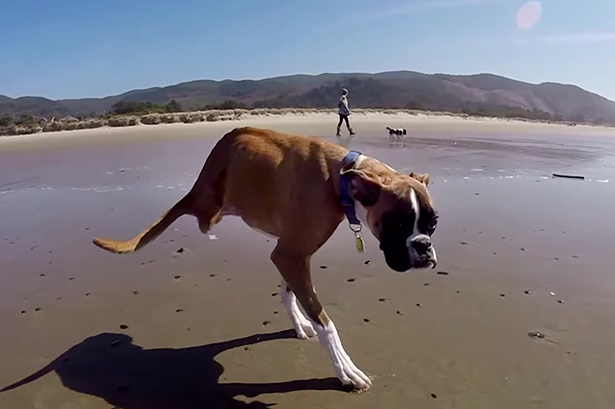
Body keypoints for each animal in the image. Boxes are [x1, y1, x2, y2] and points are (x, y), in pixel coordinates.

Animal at [91, 126, 438, 390]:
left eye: (432, 224)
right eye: (397, 224)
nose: (423, 246)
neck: (339, 176)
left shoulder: (292, 254)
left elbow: (292, 294)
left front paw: (304, 324)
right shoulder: (290, 253)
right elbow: (326, 323)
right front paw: (344, 369)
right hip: (207, 203)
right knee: (180, 213)